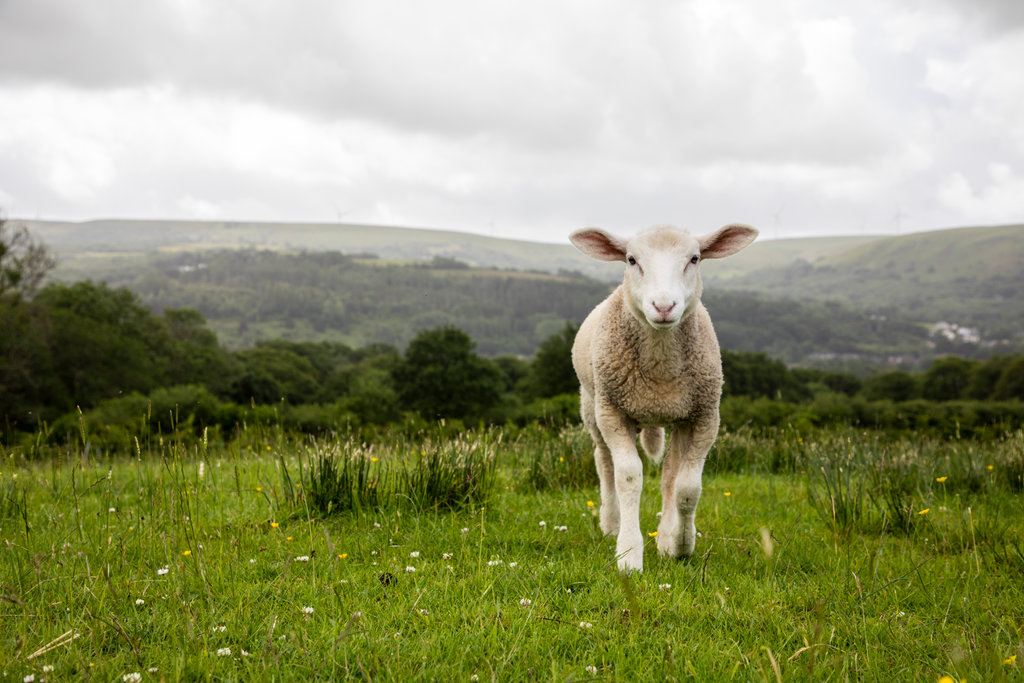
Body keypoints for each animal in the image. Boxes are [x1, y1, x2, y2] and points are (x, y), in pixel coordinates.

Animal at [569, 223, 758, 572]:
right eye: (631, 259)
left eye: (694, 258)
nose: (664, 306)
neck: (660, 373)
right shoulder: (612, 413)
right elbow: (628, 477)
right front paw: (629, 554)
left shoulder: (704, 416)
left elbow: (686, 486)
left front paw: (678, 544)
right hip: (592, 406)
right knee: (604, 463)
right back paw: (611, 522)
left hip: (675, 416)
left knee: (670, 472)